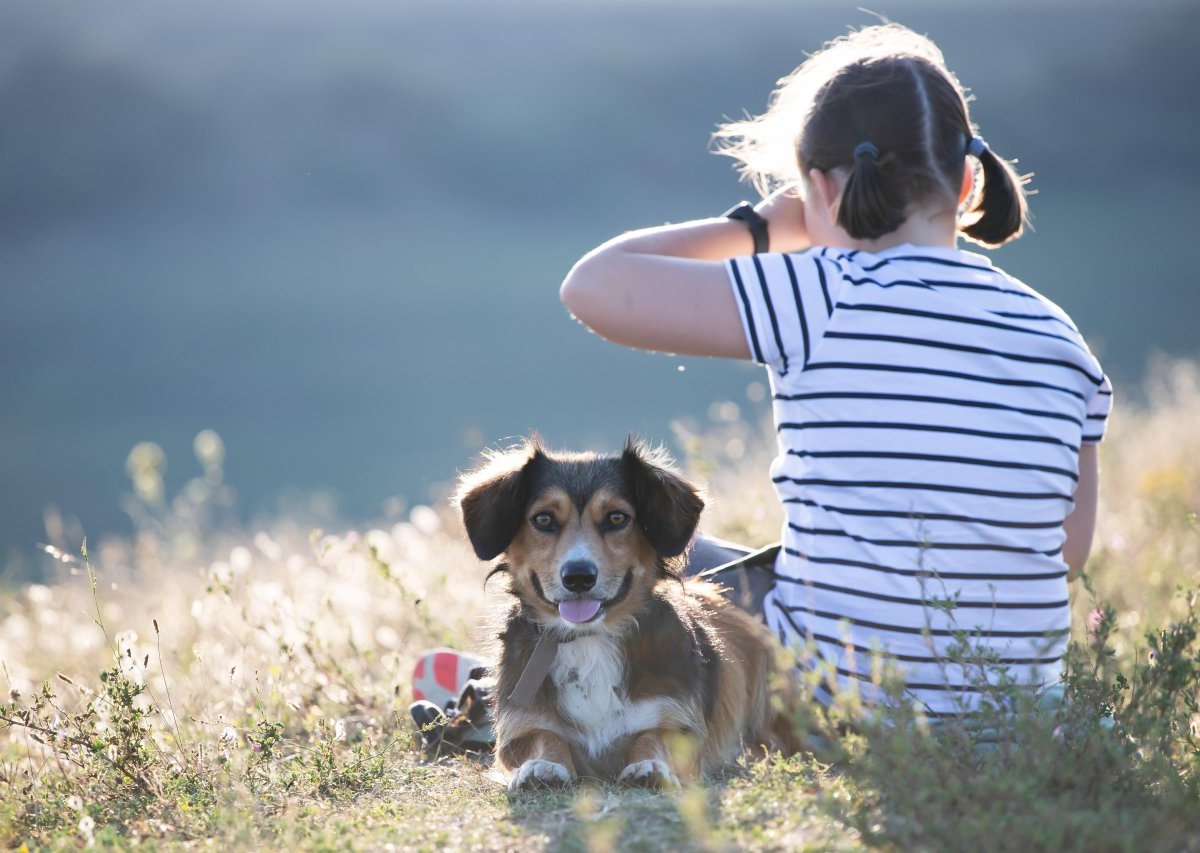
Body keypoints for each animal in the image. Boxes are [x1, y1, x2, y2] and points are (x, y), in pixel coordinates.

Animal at [453, 436, 792, 791]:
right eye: (543, 519)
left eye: (616, 518)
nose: (578, 577)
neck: (588, 639)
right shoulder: (522, 724)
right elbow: (545, 738)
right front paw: (543, 766)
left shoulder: (676, 719)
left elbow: (651, 738)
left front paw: (650, 767)